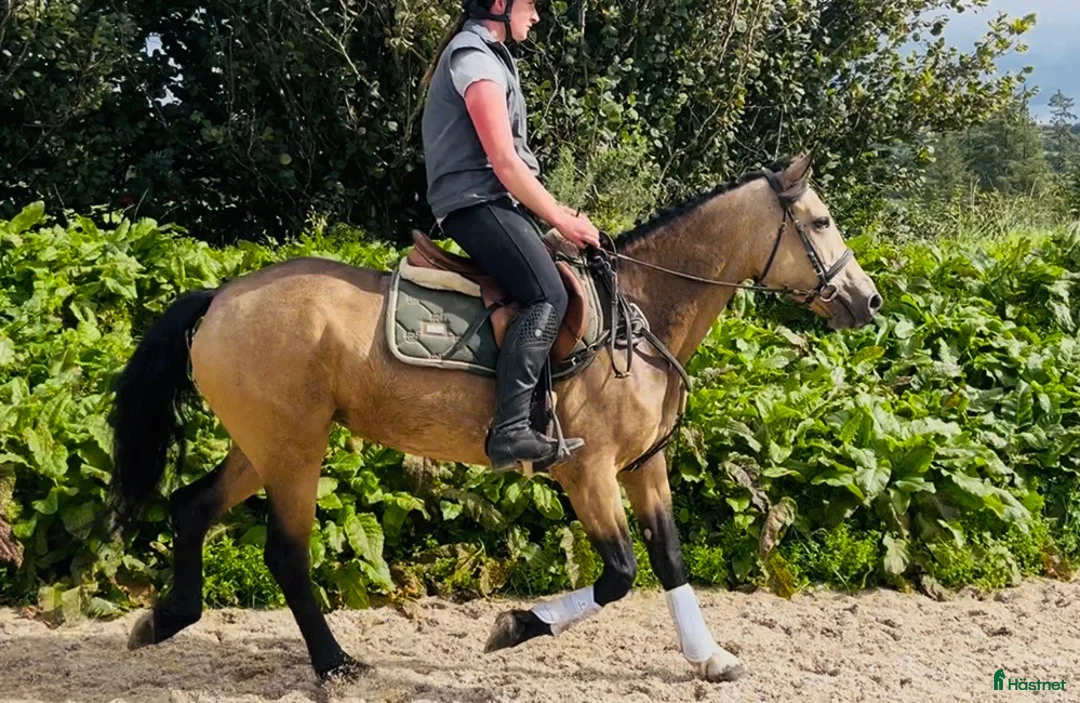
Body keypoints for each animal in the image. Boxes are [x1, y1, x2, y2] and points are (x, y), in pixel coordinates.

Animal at [108, 155, 882, 685]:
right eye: (820, 223)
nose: (869, 300)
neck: (637, 310)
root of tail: (220, 297)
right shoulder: (588, 472)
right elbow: (621, 573)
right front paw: (513, 625)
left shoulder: (643, 464)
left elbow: (668, 557)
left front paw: (710, 656)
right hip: (296, 448)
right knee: (287, 553)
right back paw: (335, 664)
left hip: (262, 444)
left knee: (191, 507)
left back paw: (167, 618)